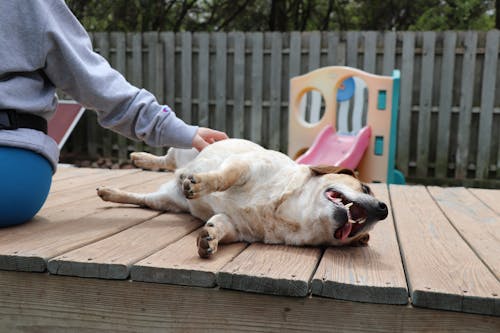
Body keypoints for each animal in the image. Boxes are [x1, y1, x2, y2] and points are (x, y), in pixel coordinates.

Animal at [95, 137, 388, 256]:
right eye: (366, 189)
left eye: (363, 233)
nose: (383, 209)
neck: (290, 211)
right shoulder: (245, 166)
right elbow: (221, 178)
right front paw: (200, 184)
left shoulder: (234, 226)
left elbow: (219, 226)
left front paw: (210, 238)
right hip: (185, 148)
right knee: (167, 159)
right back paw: (142, 158)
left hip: (164, 201)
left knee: (141, 197)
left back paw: (110, 192)